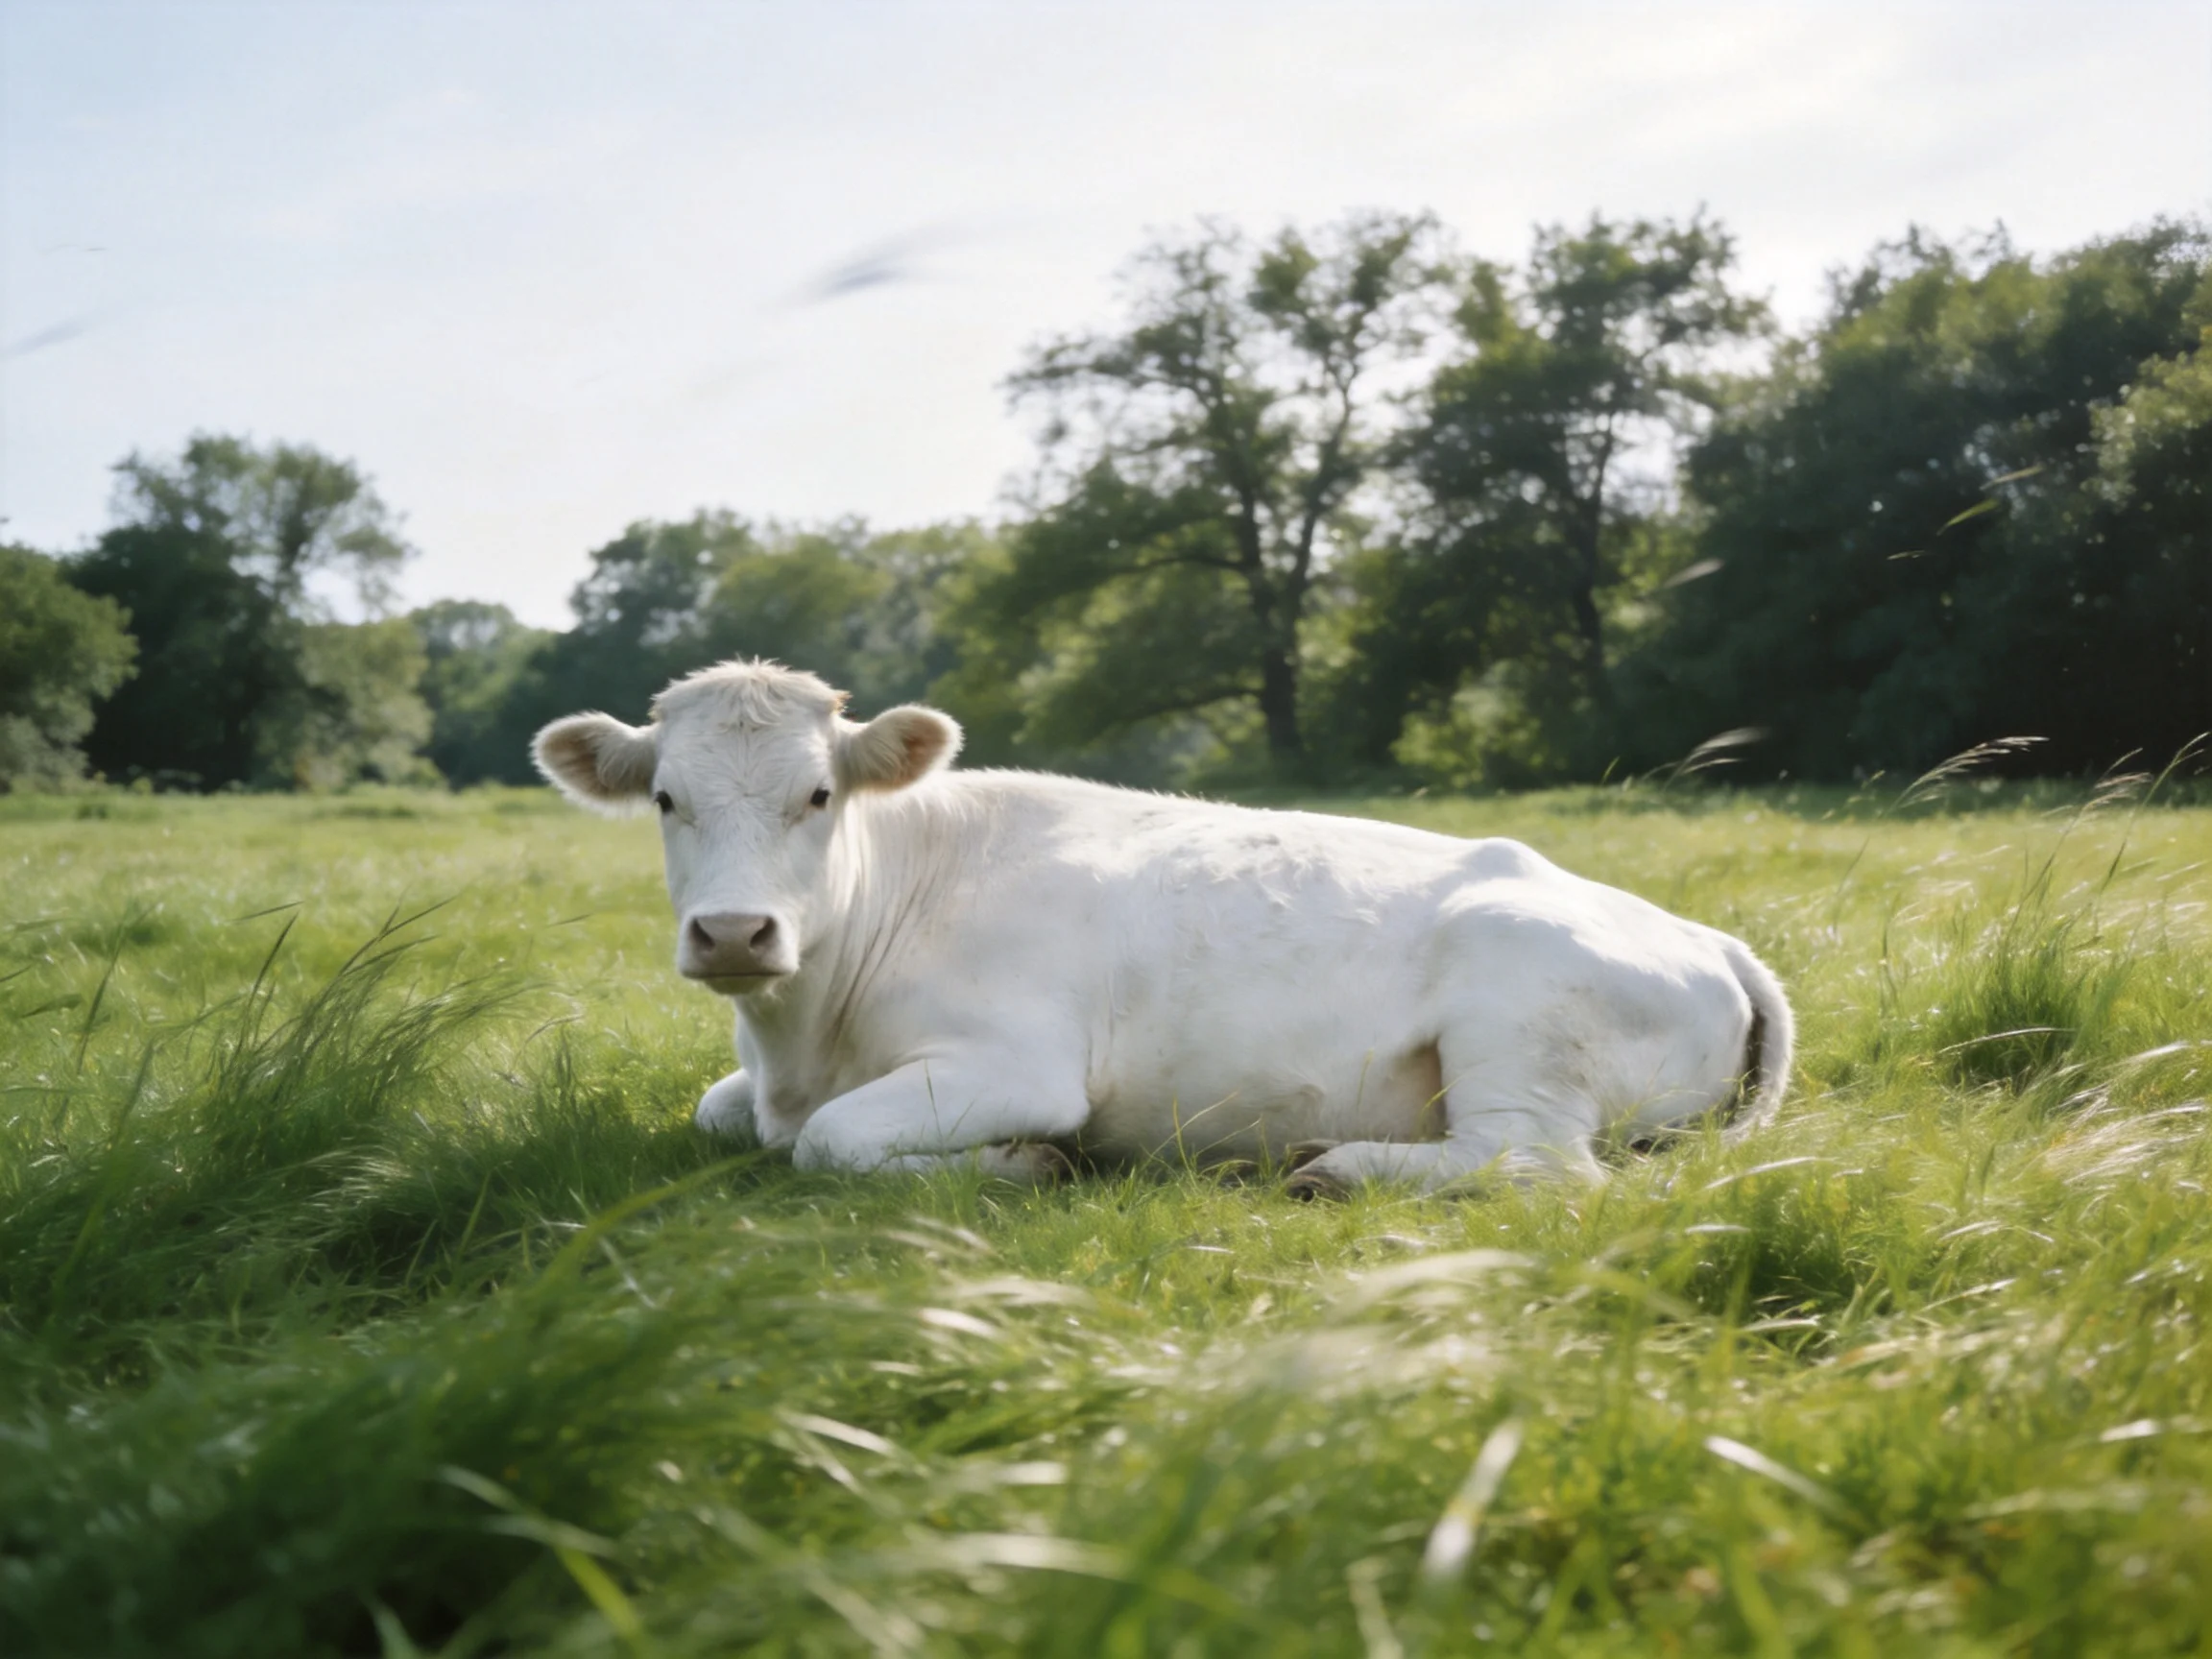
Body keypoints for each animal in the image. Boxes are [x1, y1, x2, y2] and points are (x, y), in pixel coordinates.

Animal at [534, 660, 1793, 1195]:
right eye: (665, 800)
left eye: (817, 796)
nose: (734, 933)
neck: (799, 1043)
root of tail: (1709, 937)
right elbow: (720, 1115)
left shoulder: (1017, 1064)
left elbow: (829, 1144)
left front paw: (1020, 1163)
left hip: (1519, 1018)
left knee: (1538, 1166)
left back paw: (1338, 1167)